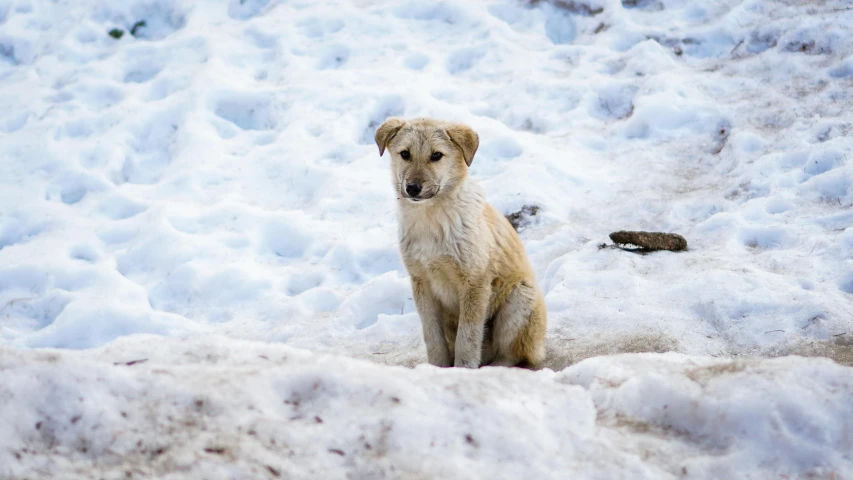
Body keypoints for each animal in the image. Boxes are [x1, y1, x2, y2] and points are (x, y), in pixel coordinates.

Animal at [372, 117, 544, 368]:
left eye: (436, 155)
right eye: (405, 154)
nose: (412, 188)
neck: (430, 220)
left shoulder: (475, 281)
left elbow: (468, 337)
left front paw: (463, 369)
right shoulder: (421, 282)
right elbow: (433, 337)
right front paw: (437, 368)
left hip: (519, 298)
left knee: (513, 354)